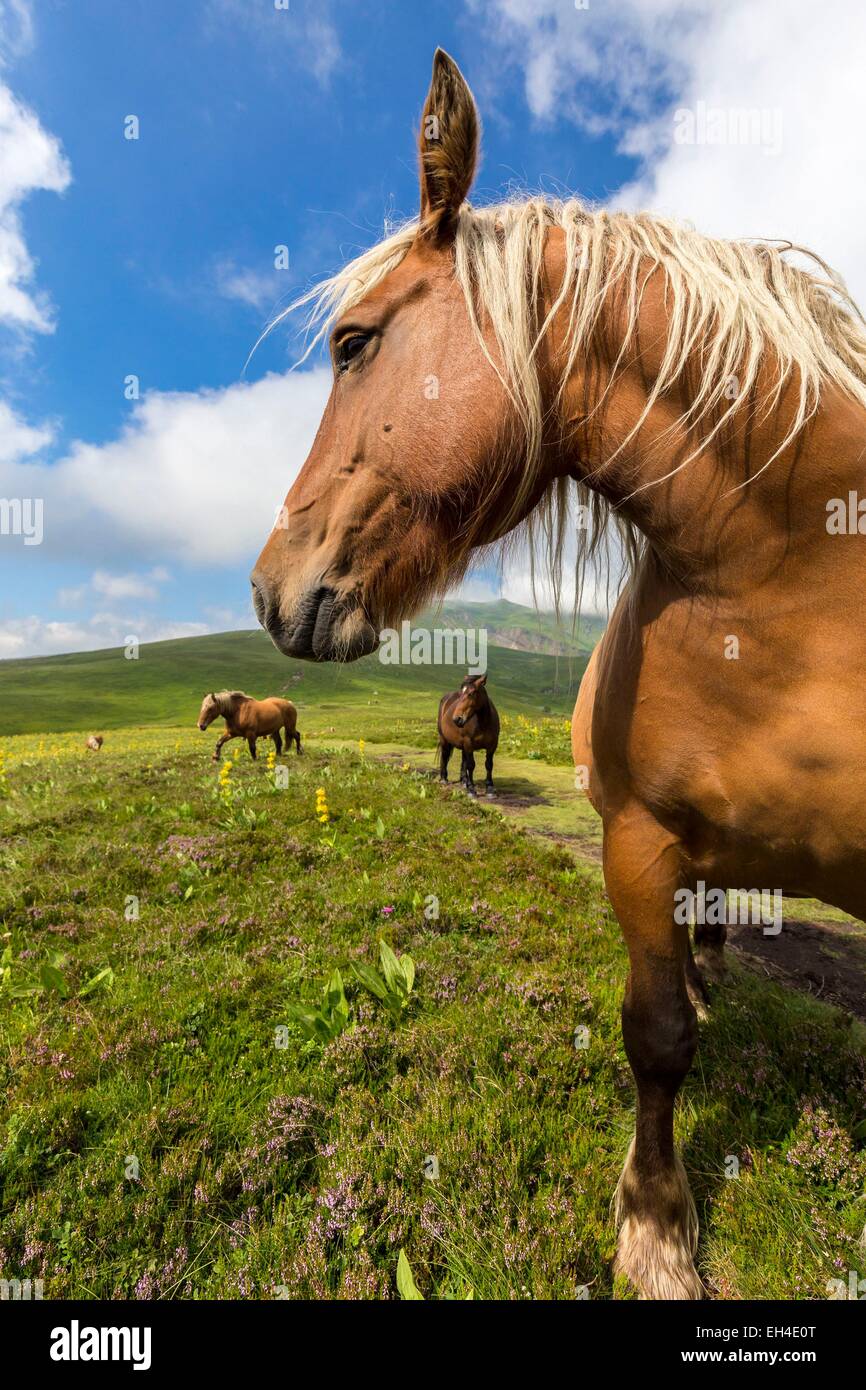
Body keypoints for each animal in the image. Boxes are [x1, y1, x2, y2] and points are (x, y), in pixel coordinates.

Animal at [247, 48, 866, 1295]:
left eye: (352, 343)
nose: (266, 585)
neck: (790, 573)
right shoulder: (638, 840)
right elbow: (656, 1036)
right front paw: (656, 1229)